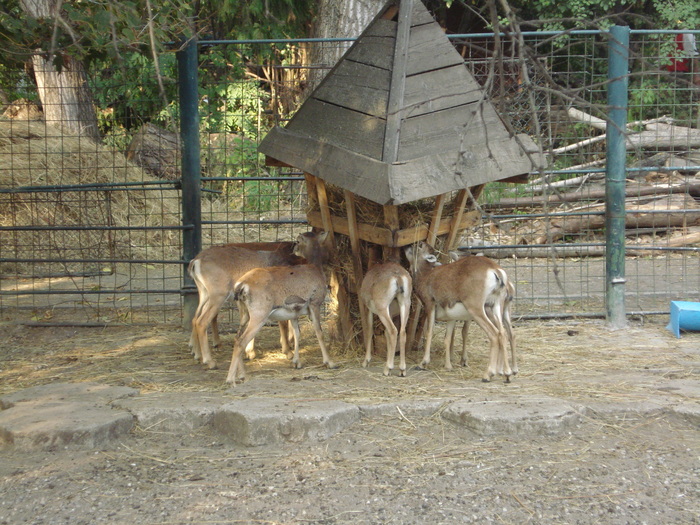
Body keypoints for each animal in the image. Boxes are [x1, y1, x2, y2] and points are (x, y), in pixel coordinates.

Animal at [226, 231, 332, 382]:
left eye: (297, 241)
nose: (293, 248)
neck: (315, 269)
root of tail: (242, 285)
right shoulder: (315, 303)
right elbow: (319, 332)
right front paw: (330, 362)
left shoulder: (294, 312)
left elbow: (297, 333)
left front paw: (296, 362)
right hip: (259, 315)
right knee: (241, 341)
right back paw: (231, 378)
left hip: (244, 313)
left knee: (237, 338)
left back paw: (241, 374)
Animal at [402, 242, 512, 380]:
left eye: (420, 245)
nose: (406, 246)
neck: (427, 276)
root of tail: (494, 270)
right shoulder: (451, 319)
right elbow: (448, 338)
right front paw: (448, 366)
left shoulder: (429, 305)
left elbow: (429, 333)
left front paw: (423, 363)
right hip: (495, 308)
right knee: (503, 333)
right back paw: (506, 374)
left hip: (477, 310)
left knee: (494, 334)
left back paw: (488, 375)